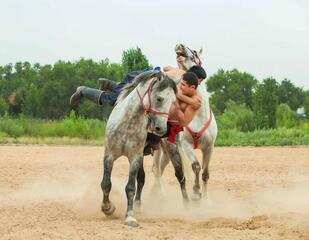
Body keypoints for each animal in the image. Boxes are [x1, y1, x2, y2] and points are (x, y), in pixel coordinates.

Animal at [100, 70, 176, 227]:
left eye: (173, 102)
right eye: (159, 99)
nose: (162, 129)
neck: (127, 123)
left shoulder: (135, 158)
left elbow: (131, 187)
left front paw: (130, 216)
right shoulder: (109, 156)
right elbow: (106, 183)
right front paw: (107, 208)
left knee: (141, 180)